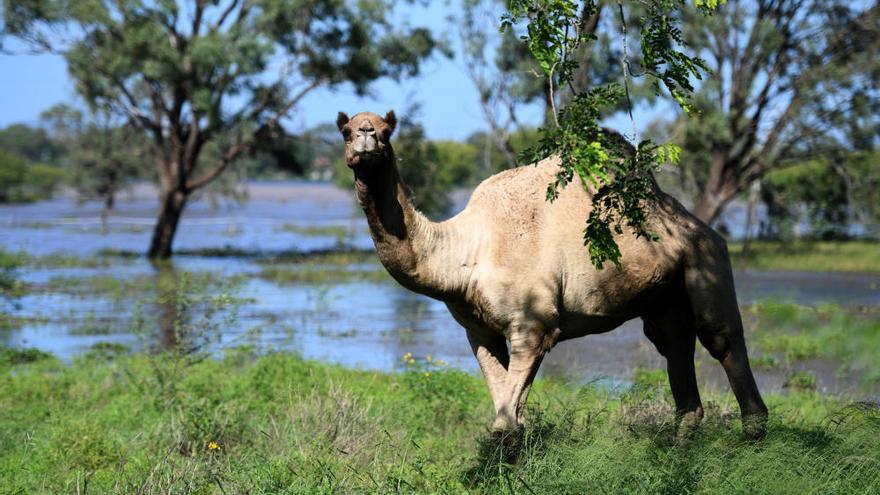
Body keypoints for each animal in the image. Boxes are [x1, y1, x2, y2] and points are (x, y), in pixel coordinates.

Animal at [340, 110, 768, 440]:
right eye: (346, 129)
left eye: (386, 130)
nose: (366, 136)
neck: (469, 250)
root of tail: (701, 226)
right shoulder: (479, 331)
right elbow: (510, 418)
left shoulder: (534, 325)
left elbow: (505, 424)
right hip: (664, 296)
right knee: (677, 356)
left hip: (706, 261)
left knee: (722, 339)